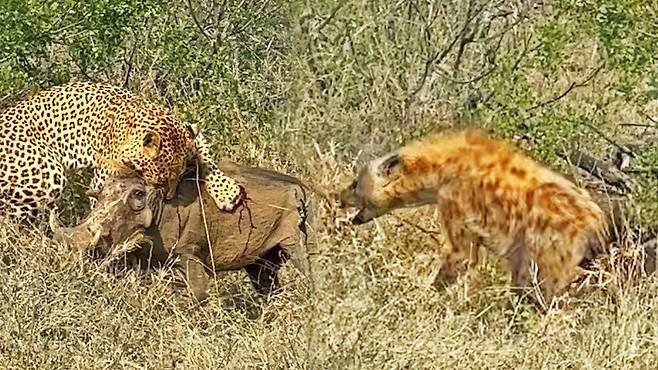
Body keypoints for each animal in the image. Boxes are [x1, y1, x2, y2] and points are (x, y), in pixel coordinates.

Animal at [0, 81, 241, 220]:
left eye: (180, 177)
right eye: (161, 181)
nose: (171, 197)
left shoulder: (191, 134)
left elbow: (207, 159)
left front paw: (227, 191)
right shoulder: (103, 182)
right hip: (48, 176)